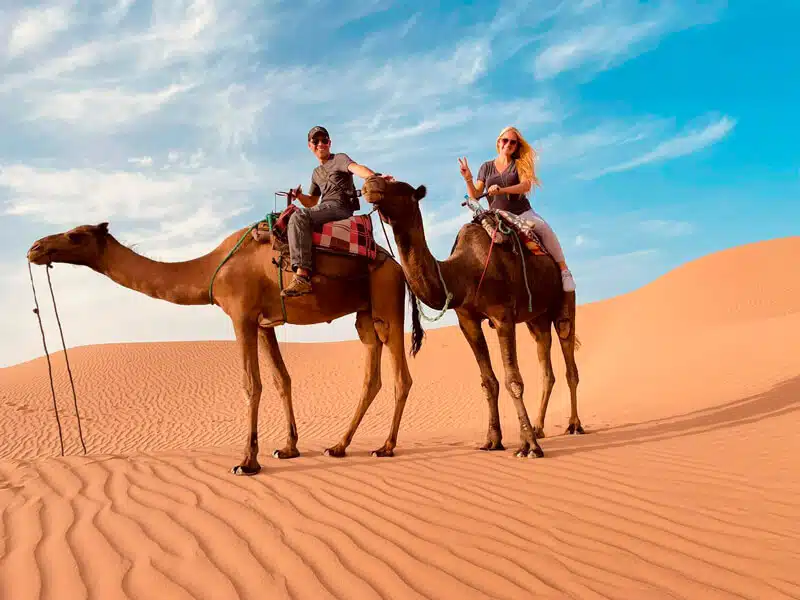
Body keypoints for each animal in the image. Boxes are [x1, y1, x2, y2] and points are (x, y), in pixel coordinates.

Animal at [26, 217, 424, 475]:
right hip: (365, 313)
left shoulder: (241, 315)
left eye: (75, 236)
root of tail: (397, 266)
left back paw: (385, 447)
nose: (35, 247)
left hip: (386, 300)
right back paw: (339, 446)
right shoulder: (264, 323)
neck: (210, 270)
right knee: (371, 374)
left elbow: (252, 383)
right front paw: (289, 448)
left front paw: (247, 461)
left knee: (402, 375)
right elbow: (281, 379)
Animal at [360, 175, 583, 458]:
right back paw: (539, 427)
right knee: (547, 368)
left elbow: (513, 380)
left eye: (399, 187)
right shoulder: (467, 320)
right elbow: (489, 381)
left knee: (569, 359)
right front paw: (493, 441)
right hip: (536, 319)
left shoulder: (502, 316)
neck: (463, 273)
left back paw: (574, 425)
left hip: (563, 303)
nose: (370, 183)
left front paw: (530, 447)